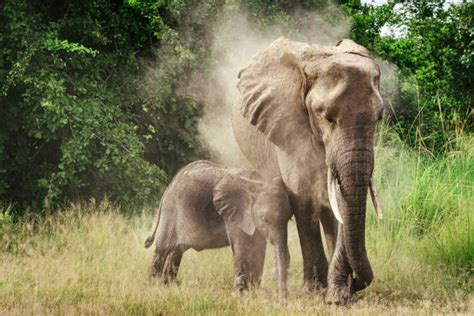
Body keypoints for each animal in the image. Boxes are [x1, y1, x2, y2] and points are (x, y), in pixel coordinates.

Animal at [144, 162, 292, 302]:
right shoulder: (234, 215)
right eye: (264, 219)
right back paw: (154, 287)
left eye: (290, 218)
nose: (282, 303)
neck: (257, 183)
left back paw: (171, 286)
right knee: (162, 250)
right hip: (171, 211)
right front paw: (239, 295)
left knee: (177, 252)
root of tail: (169, 187)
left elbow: (258, 248)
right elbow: (243, 247)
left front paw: (251, 293)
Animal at [231, 37, 384, 304]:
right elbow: (303, 198)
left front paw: (339, 295)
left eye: (379, 118)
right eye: (327, 118)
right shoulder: (289, 127)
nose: (357, 283)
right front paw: (316, 291)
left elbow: (339, 203)